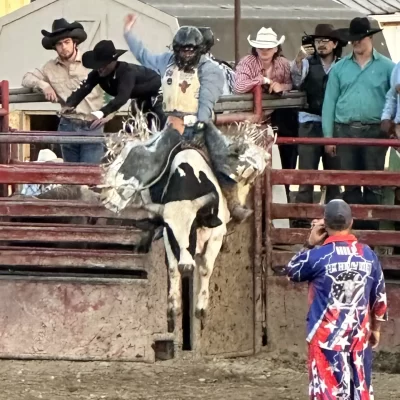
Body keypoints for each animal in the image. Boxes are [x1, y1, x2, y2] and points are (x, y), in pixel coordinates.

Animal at [144, 149, 230, 322]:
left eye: (193, 226)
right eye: (169, 229)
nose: (186, 266)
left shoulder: (216, 235)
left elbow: (205, 268)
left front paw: (201, 307)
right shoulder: (168, 240)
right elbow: (172, 270)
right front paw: (174, 305)